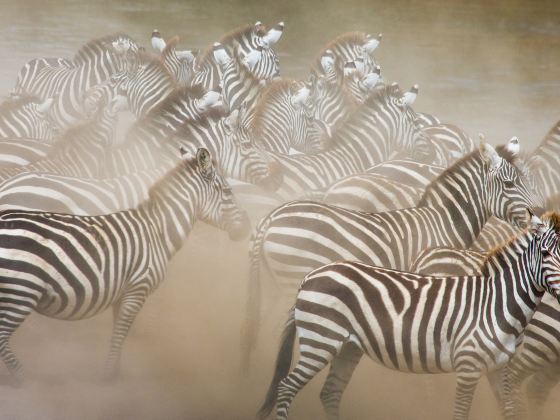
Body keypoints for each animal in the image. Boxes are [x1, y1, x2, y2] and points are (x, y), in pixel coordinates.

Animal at [0, 148, 249, 384]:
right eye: (228, 192)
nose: (245, 229)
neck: (157, 231)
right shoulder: (138, 288)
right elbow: (121, 331)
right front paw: (109, 375)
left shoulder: (123, 292)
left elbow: (118, 331)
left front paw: (116, 370)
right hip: (22, 290)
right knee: (3, 335)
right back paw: (21, 377)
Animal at [242, 140, 548, 368]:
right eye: (510, 184)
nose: (541, 215)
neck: (443, 221)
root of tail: (272, 217)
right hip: (293, 278)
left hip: (273, 285)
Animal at [258, 213, 560, 420]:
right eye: (545, 253)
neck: (497, 302)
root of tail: (310, 276)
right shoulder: (469, 365)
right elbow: (461, 412)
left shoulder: (498, 367)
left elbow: (509, 410)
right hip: (320, 340)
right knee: (286, 388)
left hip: (348, 346)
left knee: (329, 392)